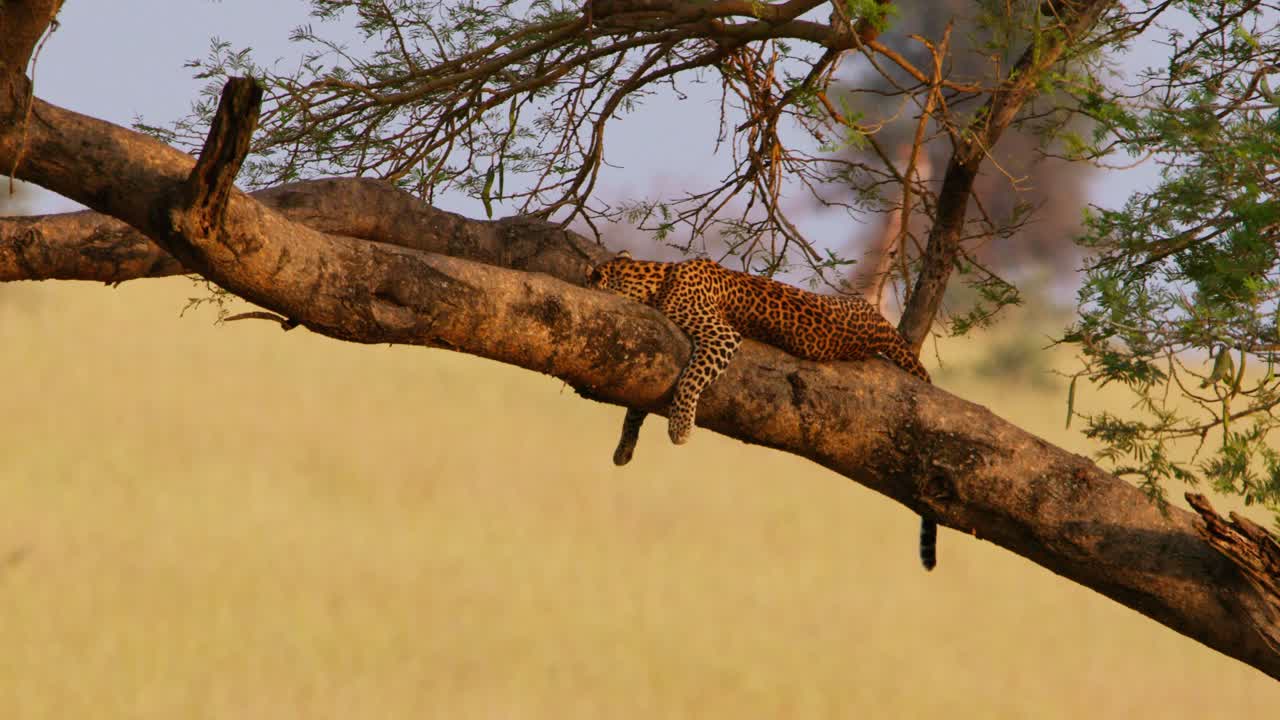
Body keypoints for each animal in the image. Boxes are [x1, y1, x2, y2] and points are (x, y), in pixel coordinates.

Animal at [588, 251, 939, 570]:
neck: (658, 275)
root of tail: (878, 322)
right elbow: (638, 406)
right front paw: (624, 448)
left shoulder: (722, 336)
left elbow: (690, 379)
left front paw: (680, 429)